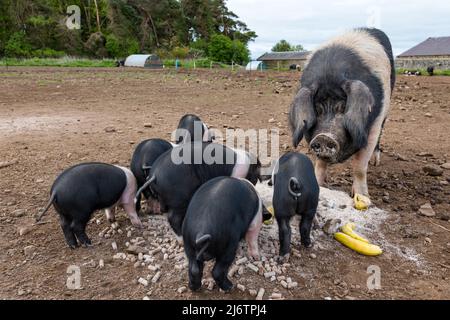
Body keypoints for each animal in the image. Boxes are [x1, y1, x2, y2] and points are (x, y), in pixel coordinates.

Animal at [290, 28, 396, 208]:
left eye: (343, 108)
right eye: (317, 110)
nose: (324, 137)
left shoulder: (373, 125)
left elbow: (359, 167)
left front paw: (363, 197)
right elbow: (320, 164)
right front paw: (319, 186)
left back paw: (375, 162)